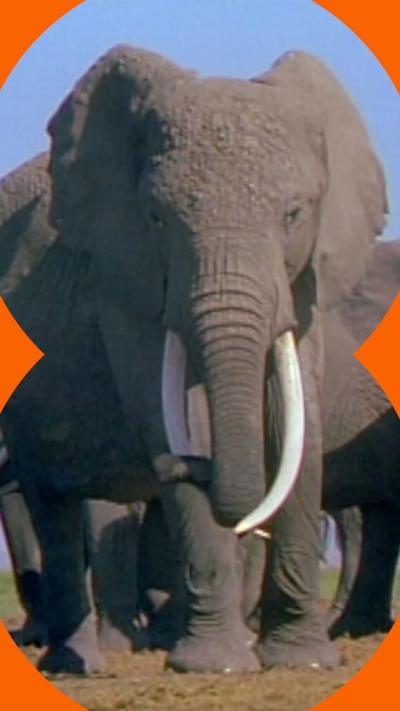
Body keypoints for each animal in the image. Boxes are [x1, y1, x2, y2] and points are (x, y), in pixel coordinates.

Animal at [25, 44, 386, 675]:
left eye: (295, 214)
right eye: (156, 218)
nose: (185, 469)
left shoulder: (307, 281)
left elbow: (300, 417)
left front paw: (303, 662)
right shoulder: (128, 275)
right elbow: (175, 412)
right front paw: (214, 665)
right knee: (53, 502)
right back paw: (77, 665)